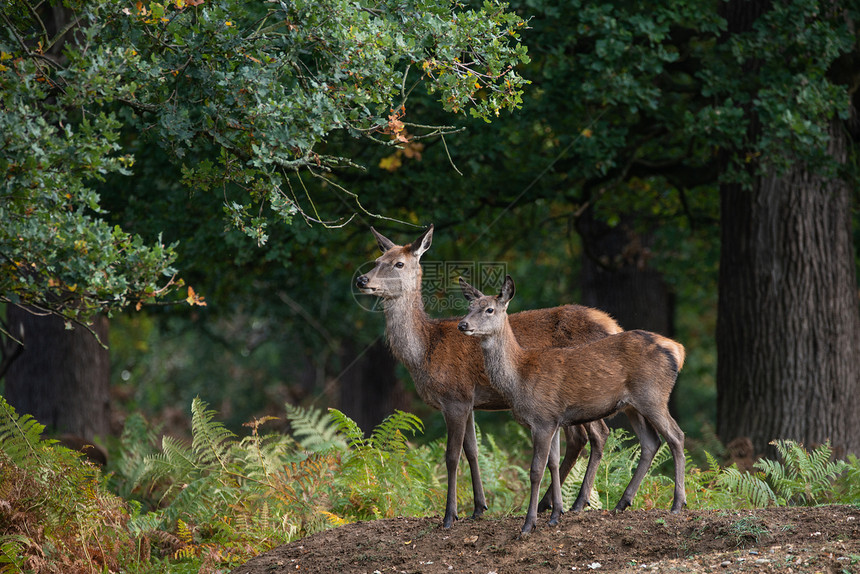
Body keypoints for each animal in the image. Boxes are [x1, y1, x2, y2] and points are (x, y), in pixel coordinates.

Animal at [352, 226, 620, 532]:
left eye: (398, 263)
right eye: (377, 259)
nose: (362, 279)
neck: (425, 352)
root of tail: (614, 326)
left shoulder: (454, 397)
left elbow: (451, 456)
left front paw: (450, 515)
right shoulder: (468, 401)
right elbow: (472, 450)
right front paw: (479, 507)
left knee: (599, 434)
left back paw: (575, 503)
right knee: (580, 439)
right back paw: (550, 505)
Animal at [460, 276, 688, 536]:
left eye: (489, 309)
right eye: (469, 306)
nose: (462, 324)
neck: (519, 377)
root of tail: (678, 350)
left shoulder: (542, 419)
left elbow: (536, 470)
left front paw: (529, 523)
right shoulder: (553, 420)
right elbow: (553, 463)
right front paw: (555, 515)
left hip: (653, 395)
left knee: (676, 436)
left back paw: (677, 503)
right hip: (633, 405)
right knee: (651, 442)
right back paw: (622, 503)